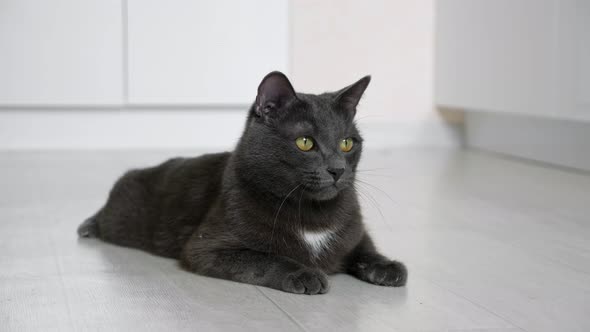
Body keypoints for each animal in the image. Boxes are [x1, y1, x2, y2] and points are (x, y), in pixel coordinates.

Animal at [77, 71, 408, 294]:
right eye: (305, 142)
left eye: (347, 143)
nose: (338, 169)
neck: (313, 213)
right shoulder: (205, 248)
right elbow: (265, 258)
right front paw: (305, 274)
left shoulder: (354, 230)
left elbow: (364, 247)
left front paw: (387, 266)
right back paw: (88, 227)